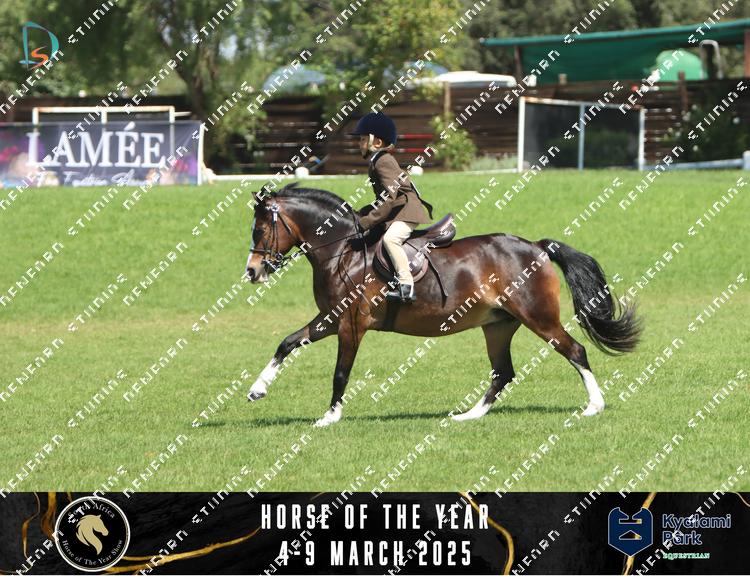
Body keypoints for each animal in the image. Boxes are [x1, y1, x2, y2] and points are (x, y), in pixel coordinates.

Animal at [243, 182, 642, 427]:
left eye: (260, 230)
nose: (252, 271)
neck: (343, 250)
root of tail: (536, 247)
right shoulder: (330, 318)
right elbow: (287, 343)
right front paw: (257, 390)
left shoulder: (350, 323)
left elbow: (341, 372)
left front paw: (329, 417)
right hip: (498, 324)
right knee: (503, 372)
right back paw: (469, 416)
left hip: (537, 317)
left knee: (574, 351)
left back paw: (594, 406)